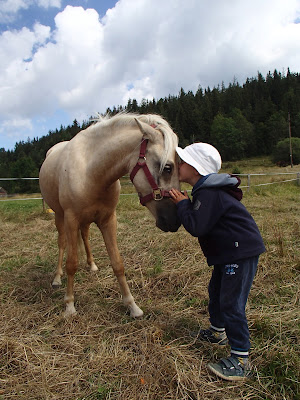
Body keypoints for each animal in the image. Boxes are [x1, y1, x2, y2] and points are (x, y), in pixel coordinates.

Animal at [39, 113, 180, 318]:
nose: (174, 220)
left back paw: (92, 265)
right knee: (62, 243)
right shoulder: (71, 219)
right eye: (168, 168)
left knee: (85, 237)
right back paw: (57, 278)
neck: (91, 171)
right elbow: (71, 263)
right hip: (59, 217)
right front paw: (69, 305)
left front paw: (132, 306)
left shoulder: (108, 220)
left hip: (85, 221)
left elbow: (117, 263)